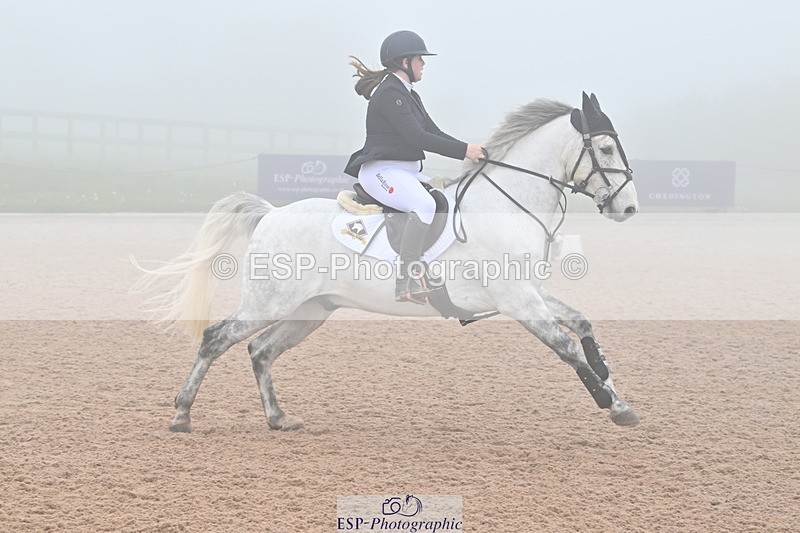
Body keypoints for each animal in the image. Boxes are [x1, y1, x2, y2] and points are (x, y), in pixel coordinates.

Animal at [135, 92, 641, 433]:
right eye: (607, 149)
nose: (629, 208)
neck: (509, 204)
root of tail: (271, 213)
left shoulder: (529, 292)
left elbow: (582, 323)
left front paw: (613, 388)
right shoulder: (515, 299)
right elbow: (566, 346)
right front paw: (610, 403)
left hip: (310, 310)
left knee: (260, 350)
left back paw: (279, 418)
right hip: (269, 302)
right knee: (217, 338)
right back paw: (181, 413)